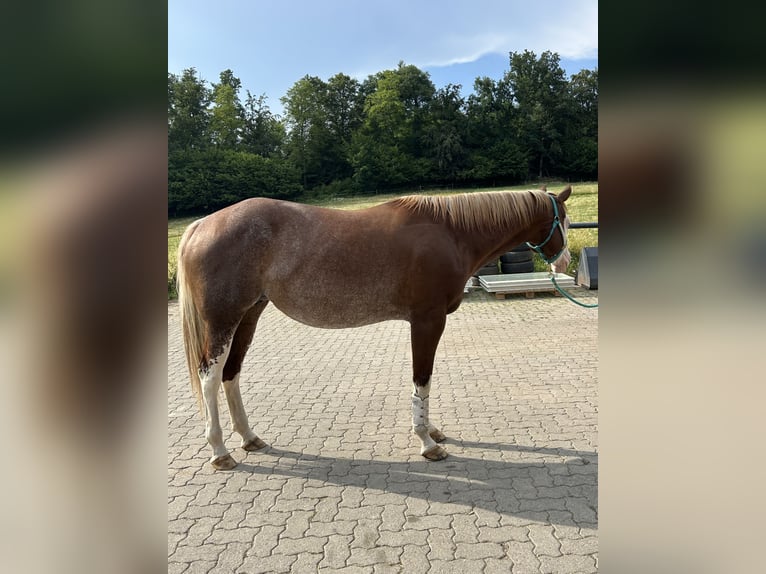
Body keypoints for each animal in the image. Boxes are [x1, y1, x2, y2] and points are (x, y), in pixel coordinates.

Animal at [177, 186, 572, 469]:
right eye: (563, 220)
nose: (565, 260)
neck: (451, 233)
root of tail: (201, 226)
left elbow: (423, 381)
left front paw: (431, 431)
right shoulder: (427, 320)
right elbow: (422, 379)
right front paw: (427, 442)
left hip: (249, 315)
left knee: (231, 374)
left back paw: (249, 437)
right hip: (223, 320)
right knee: (210, 377)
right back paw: (220, 451)